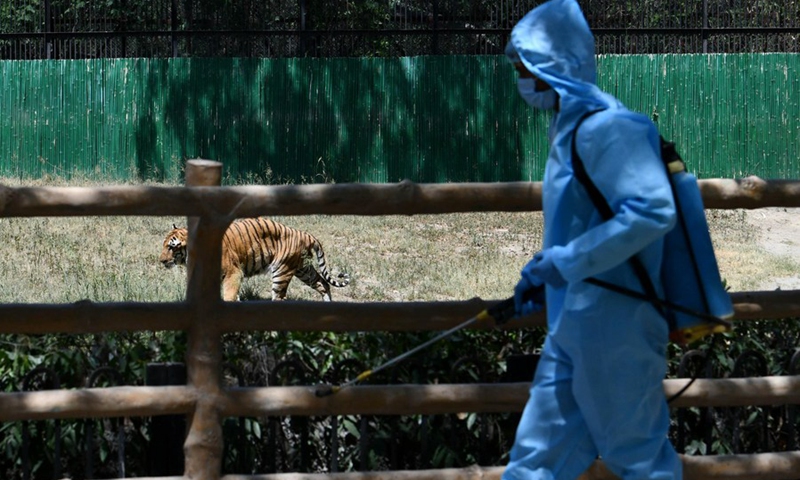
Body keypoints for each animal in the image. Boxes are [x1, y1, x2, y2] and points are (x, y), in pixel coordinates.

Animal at [159, 217, 350, 302]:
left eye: (171, 247)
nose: (161, 261)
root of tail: (305, 234)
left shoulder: (233, 274)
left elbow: (229, 295)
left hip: (282, 271)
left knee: (280, 298)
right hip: (303, 270)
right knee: (322, 283)